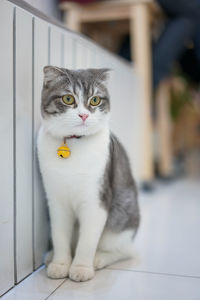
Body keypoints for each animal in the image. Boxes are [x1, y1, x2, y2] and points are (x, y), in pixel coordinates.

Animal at [38, 67, 141, 282]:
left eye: (95, 100)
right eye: (68, 98)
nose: (84, 115)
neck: (73, 145)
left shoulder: (97, 199)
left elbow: (87, 240)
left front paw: (81, 268)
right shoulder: (56, 200)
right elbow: (59, 234)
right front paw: (60, 264)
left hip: (121, 216)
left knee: (125, 250)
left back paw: (99, 258)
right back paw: (51, 257)